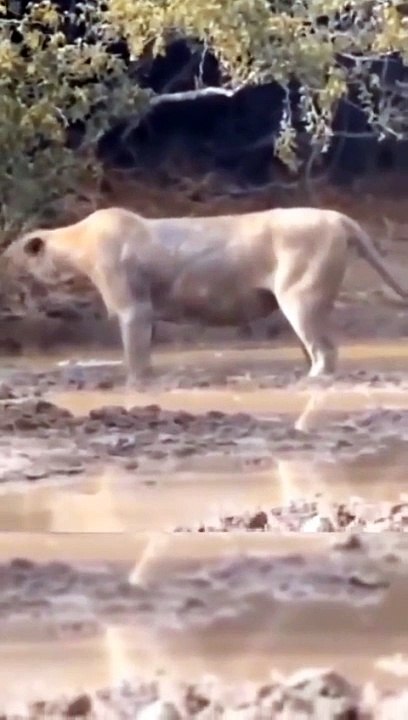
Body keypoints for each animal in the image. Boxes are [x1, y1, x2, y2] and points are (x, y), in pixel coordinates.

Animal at [3, 205, 407, 385]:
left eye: (6, 256)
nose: (2, 270)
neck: (75, 246)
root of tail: (340, 217)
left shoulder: (133, 308)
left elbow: (135, 355)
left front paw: (135, 385)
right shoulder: (143, 312)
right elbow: (144, 351)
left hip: (300, 298)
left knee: (325, 350)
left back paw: (310, 382)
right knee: (319, 349)